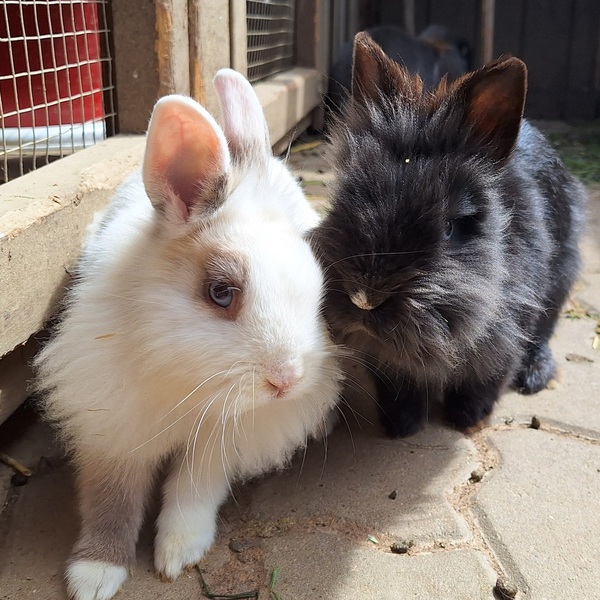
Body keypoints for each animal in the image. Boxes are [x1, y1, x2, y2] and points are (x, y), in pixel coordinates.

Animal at [35, 69, 343, 600]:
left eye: (321, 291)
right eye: (220, 293)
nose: (286, 381)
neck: (189, 386)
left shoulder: (220, 440)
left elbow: (193, 492)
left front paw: (178, 552)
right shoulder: (113, 427)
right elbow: (110, 499)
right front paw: (95, 576)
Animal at [310, 32, 585, 438]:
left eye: (451, 227)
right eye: (343, 199)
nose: (364, 298)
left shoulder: (506, 334)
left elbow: (483, 381)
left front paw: (467, 420)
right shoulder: (383, 357)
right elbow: (397, 385)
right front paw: (402, 426)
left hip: (560, 282)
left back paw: (535, 377)